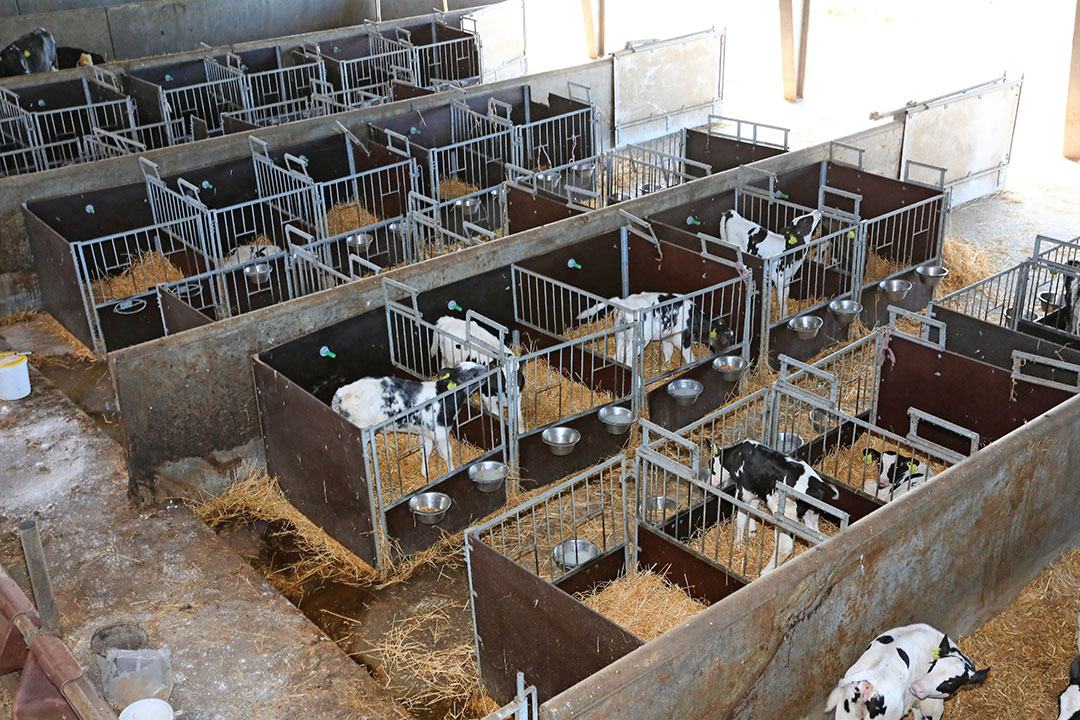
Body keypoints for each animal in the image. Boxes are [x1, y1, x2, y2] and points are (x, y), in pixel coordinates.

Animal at [330, 360, 488, 479]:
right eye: (472, 374)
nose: (487, 367)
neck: (446, 396)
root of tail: (343, 391)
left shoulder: (426, 431)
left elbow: (426, 450)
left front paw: (425, 473)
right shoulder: (441, 432)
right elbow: (447, 453)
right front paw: (452, 471)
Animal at [574, 291, 734, 369]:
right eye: (725, 342)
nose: (732, 352)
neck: (695, 318)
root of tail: (624, 302)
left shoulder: (668, 337)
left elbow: (668, 353)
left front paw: (667, 365)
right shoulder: (684, 340)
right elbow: (690, 358)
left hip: (620, 335)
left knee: (617, 355)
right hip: (639, 339)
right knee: (626, 357)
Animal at [708, 440, 842, 574]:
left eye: (711, 466)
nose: (710, 483)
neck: (738, 455)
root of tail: (817, 483)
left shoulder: (743, 491)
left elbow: (741, 519)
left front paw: (737, 545)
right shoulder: (756, 491)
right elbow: (753, 511)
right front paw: (752, 533)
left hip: (786, 515)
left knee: (785, 544)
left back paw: (765, 572)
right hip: (811, 512)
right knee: (814, 535)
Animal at [829, 626, 989, 720]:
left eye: (950, 682)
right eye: (932, 666)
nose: (916, 688)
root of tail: (870, 676)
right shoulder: (932, 705)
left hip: (846, 713)